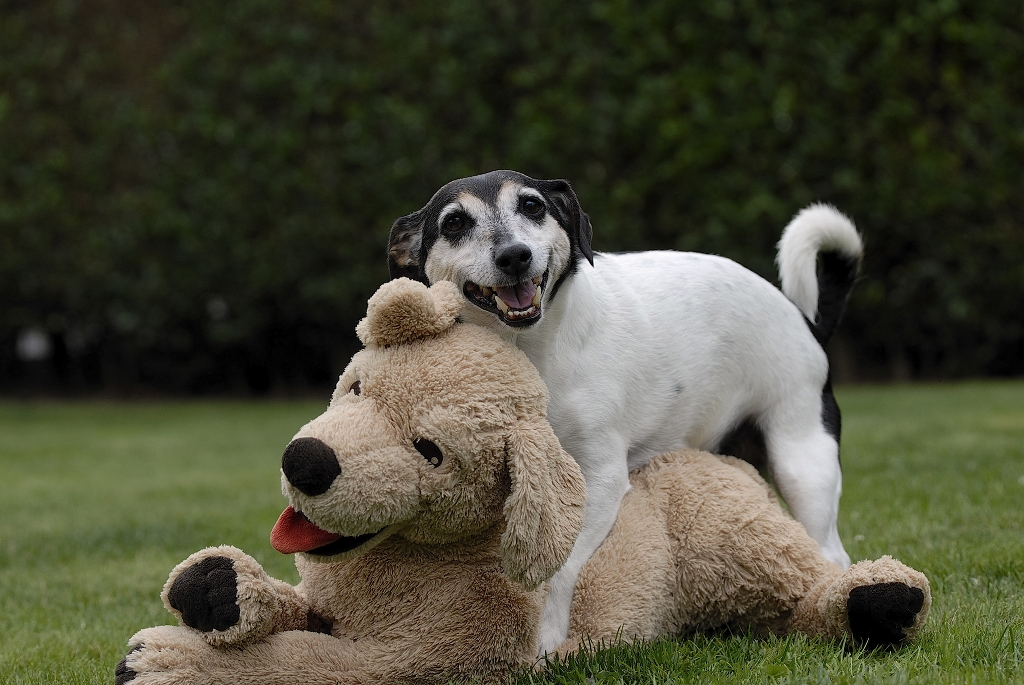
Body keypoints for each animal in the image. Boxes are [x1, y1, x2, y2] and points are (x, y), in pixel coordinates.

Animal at [387, 169, 860, 651]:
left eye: (533, 205)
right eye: (454, 223)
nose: (515, 255)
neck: (533, 351)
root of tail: (807, 323)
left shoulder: (601, 478)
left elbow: (560, 567)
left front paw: (545, 639)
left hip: (802, 461)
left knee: (831, 551)